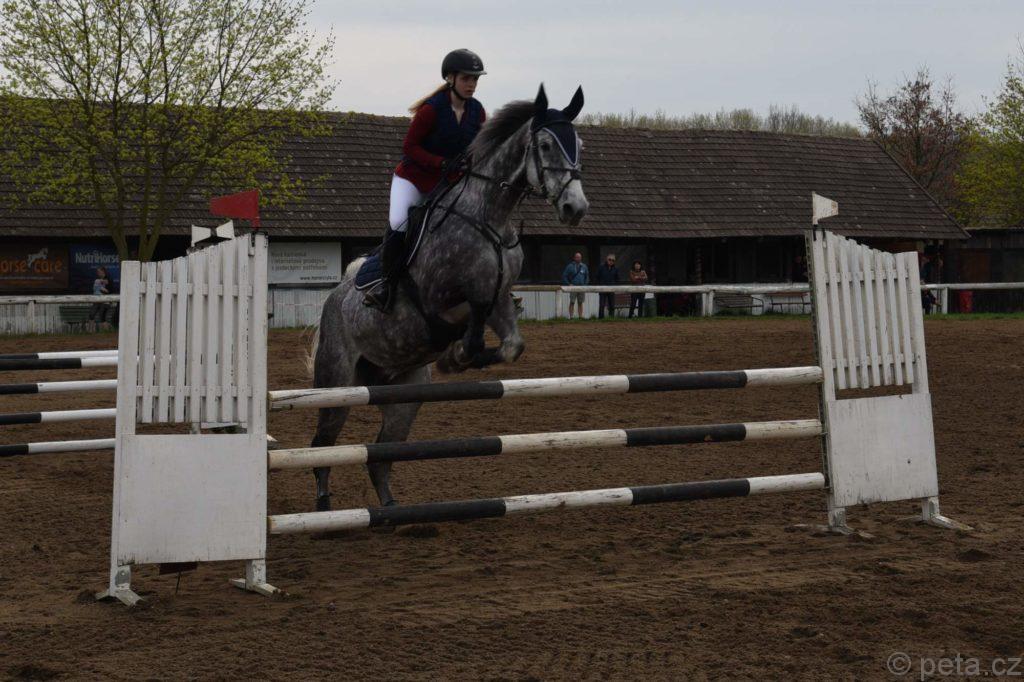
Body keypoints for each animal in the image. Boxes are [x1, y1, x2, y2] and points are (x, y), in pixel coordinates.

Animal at [308, 85, 590, 511]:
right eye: (544, 145)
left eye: (579, 145)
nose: (576, 207)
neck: (490, 215)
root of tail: (334, 298)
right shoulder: (439, 299)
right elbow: (468, 320)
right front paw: (456, 355)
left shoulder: (499, 296)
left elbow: (511, 343)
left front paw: (457, 358)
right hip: (338, 383)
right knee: (323, 445)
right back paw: (324, 504)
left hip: (403, 397)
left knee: (380, 456)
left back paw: (392, 512)